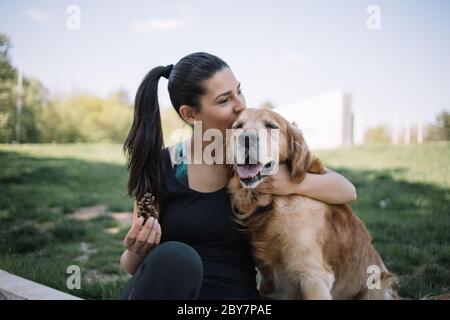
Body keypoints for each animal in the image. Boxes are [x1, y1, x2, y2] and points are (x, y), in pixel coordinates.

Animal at [227, 108, 400, 300]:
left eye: (272, 126)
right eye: (237, 126)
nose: (245, 138)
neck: (272, 202)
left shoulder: (313, 276)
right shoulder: (270, 285)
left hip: (377, 288)